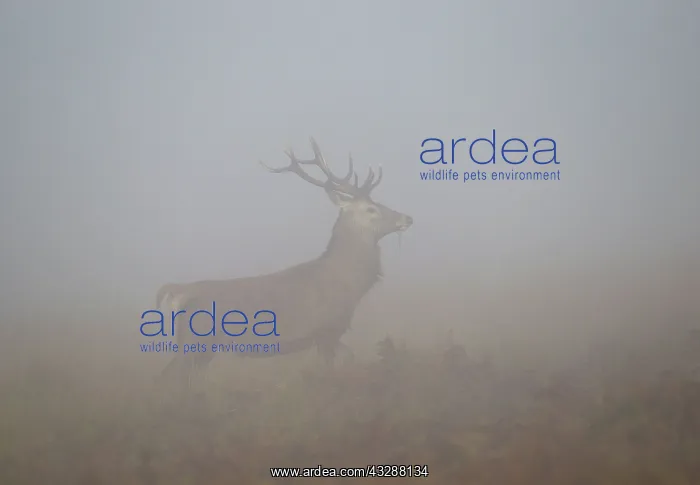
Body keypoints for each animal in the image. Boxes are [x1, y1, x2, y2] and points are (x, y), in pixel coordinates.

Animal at [156, 137, 413, 394]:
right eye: (371, 209)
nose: (407, 218)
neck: (349, 284)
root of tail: (177, 291)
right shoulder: (326, 329)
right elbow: (335, 367)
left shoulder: (330, 333)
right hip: (194, 339)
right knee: (170, 375)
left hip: (202, 348)